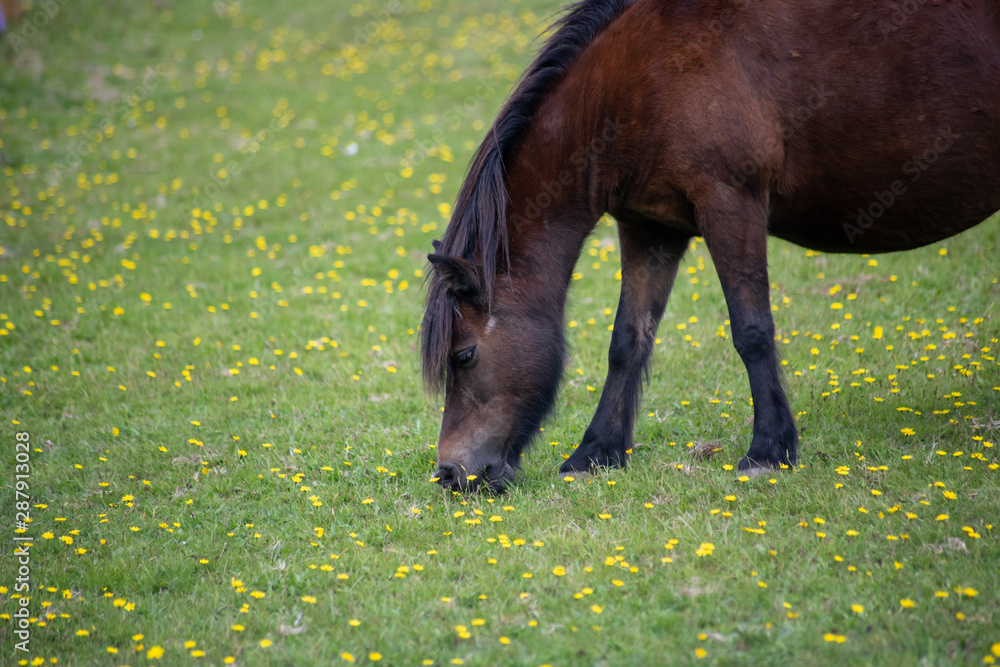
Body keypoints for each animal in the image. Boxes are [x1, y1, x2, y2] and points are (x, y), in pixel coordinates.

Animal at [421, 0, 1000, 492]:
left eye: (465, 354)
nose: (449, 474)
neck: (642, 78)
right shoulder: (650, 229)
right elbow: (628, 341)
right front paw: (595, 453)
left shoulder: (730, 204)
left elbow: (752, 331)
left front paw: (768, 451)